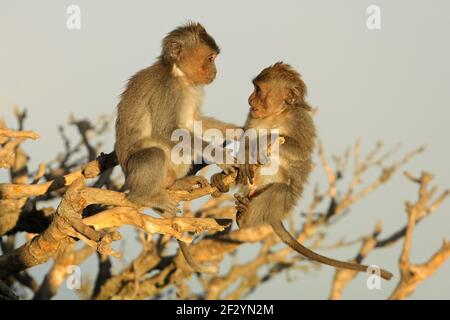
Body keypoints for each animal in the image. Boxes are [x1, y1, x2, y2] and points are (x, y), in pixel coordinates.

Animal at [114, 21, 237, 272]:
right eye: (210, 58)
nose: (215, 71)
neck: (180, 77)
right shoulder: (167, 91)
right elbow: (168, 131)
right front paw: (221, 156)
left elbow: (195, 122)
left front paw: (239, 130)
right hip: (134, 173)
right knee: (154, 154)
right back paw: (144, 197)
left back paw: (179, 183)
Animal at [210, 62, 390, 280]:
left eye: (259, 90)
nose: (250, 100)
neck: (277, 114)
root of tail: (275, 214)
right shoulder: (252, 119)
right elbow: (245, 145)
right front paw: (240, 158)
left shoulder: (299, 120)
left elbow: (300, 151)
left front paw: (265, 140)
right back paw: (223, 183)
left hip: (283, 202)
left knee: (281, 190)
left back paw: (245, 218)